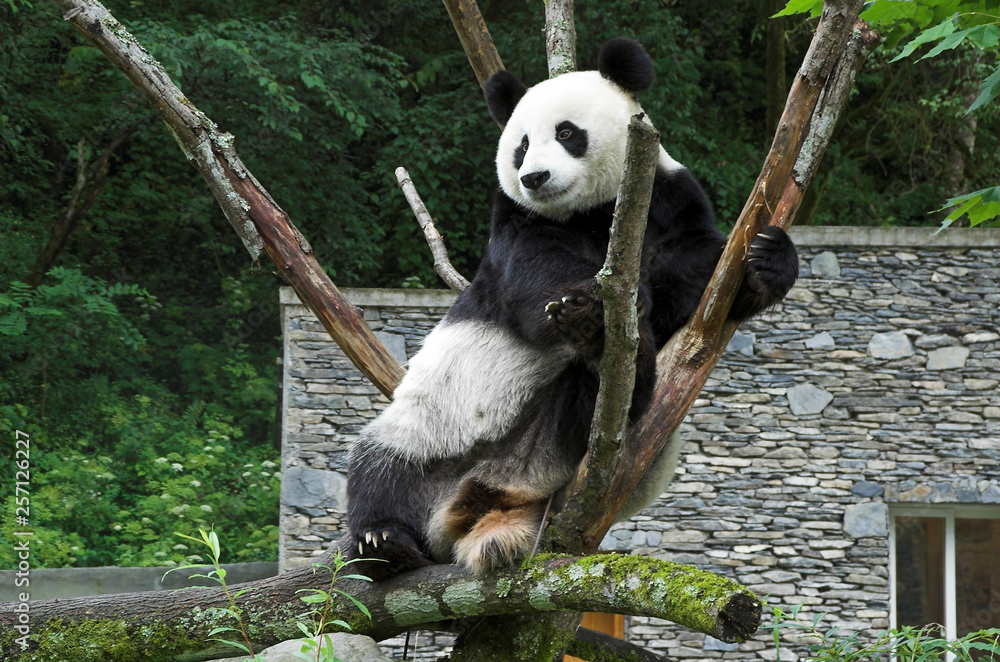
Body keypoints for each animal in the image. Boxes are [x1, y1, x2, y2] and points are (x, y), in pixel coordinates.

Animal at [344, 37, 799, 579]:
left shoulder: (667, 201)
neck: (592, 212)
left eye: (566, 132)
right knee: (382, 468)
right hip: (432, 437)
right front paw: (587, 301)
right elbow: (534, 275)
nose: (535, 177)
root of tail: (481, 503)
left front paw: (766, 261)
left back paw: (601, 355)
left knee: (598, 398)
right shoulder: (517, 222)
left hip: (552, 442)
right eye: (520, 145)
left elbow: (699, 277)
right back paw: (383, 541)